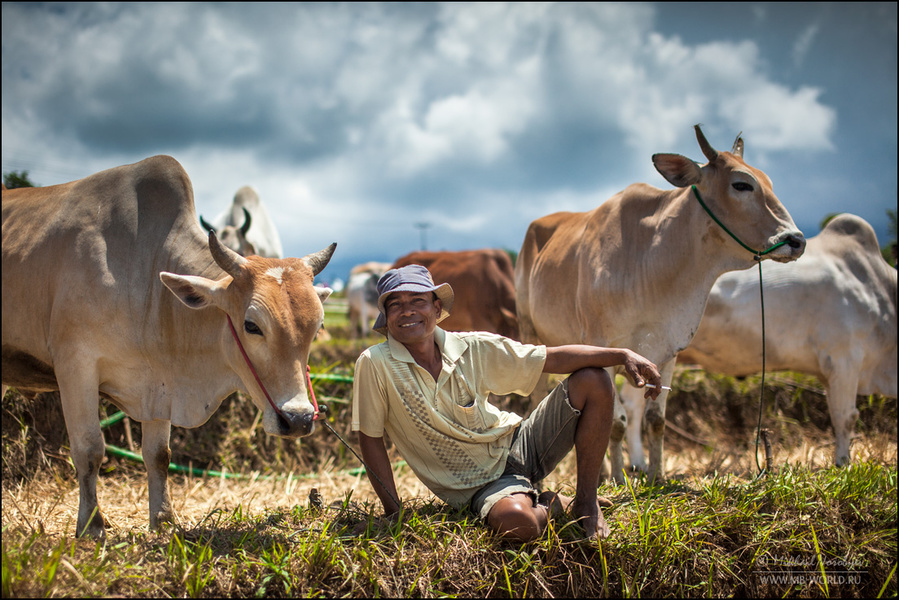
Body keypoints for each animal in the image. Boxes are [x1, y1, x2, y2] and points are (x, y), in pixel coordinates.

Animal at [1, 156, 336, 540]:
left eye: (317, 327)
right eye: (251, 325)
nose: (298, 419)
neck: (142, 275)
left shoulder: (160, 384)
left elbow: (158, 454)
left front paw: (163, 519)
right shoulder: (75, 366)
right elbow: (89, 449)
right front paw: (91, 526)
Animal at [516, 125, 804, 482]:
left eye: (769, 182)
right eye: (741, 184)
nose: (796, 240)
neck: (652, 261)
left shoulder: (667, 352)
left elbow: (655, 420)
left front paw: (656, 476)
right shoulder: (602, 345)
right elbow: (615, 422)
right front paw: (619, 478)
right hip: (530, 332)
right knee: (538, 399)